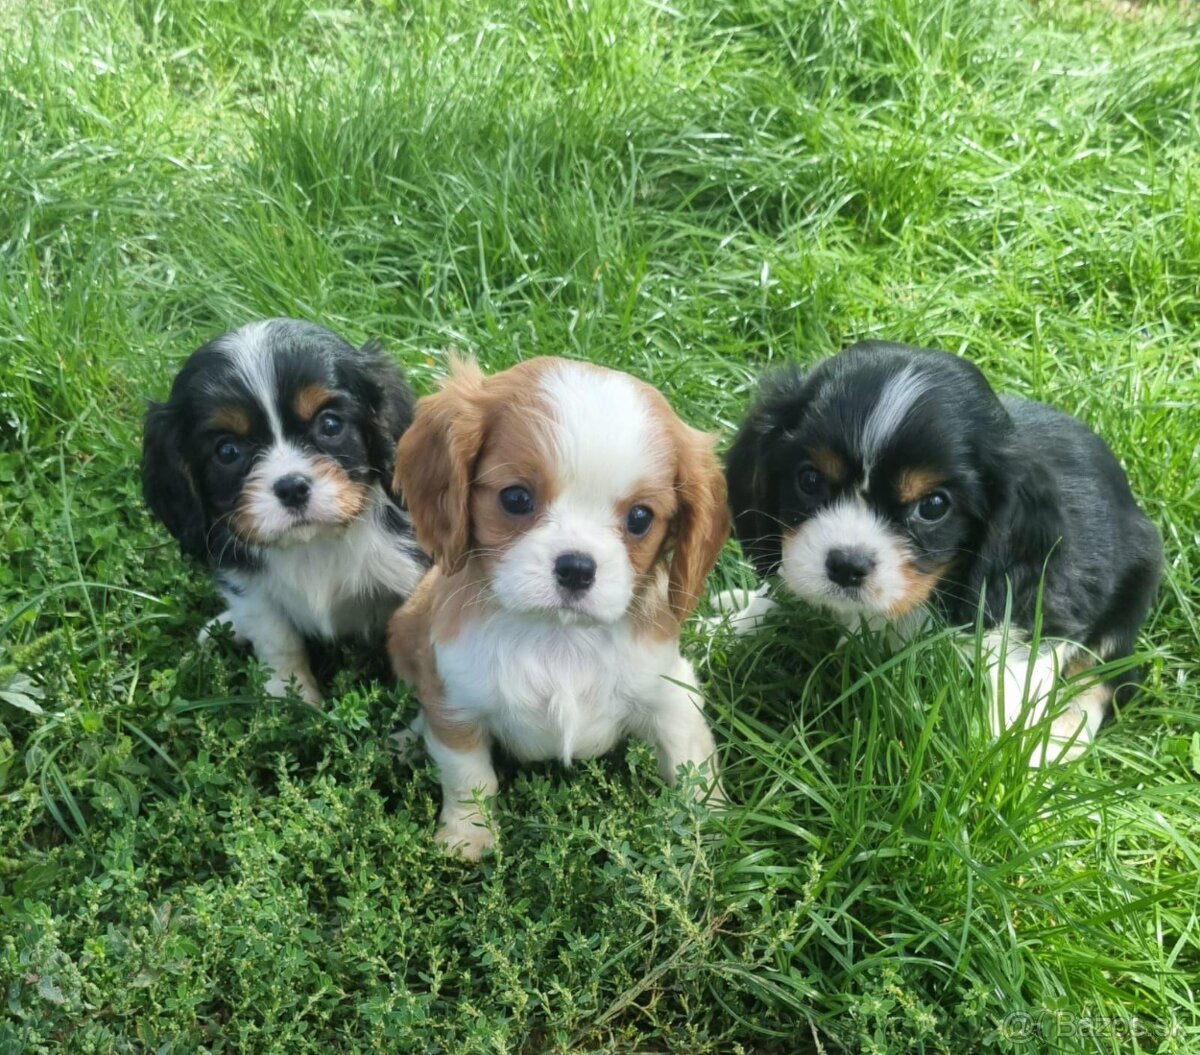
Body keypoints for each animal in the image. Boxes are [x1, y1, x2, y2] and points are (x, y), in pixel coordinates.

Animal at [142, 316, 429, 705]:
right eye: (227, 451)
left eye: (330, 425)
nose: (292, 487)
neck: (313, 545)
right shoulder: (250, 588)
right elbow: (278, 640)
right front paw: (292, 701)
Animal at [388, 355, 724, 859]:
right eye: (516, 498)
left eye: (640, 518)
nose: (577, 567)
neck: (558, 635)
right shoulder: (455, 702)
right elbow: (469, 776)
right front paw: (469, 835)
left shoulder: (670, 693)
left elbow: (691, 765)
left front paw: (709, 829)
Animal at [720, 343, 1161, 753]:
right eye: (809, 480)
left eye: (933, 506)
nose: (846, 565)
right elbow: (773, 592)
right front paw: (727, 629)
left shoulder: (1041, 617)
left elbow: (1010, 690)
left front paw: (996, 758)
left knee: (1105, 679)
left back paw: (1059, 742)